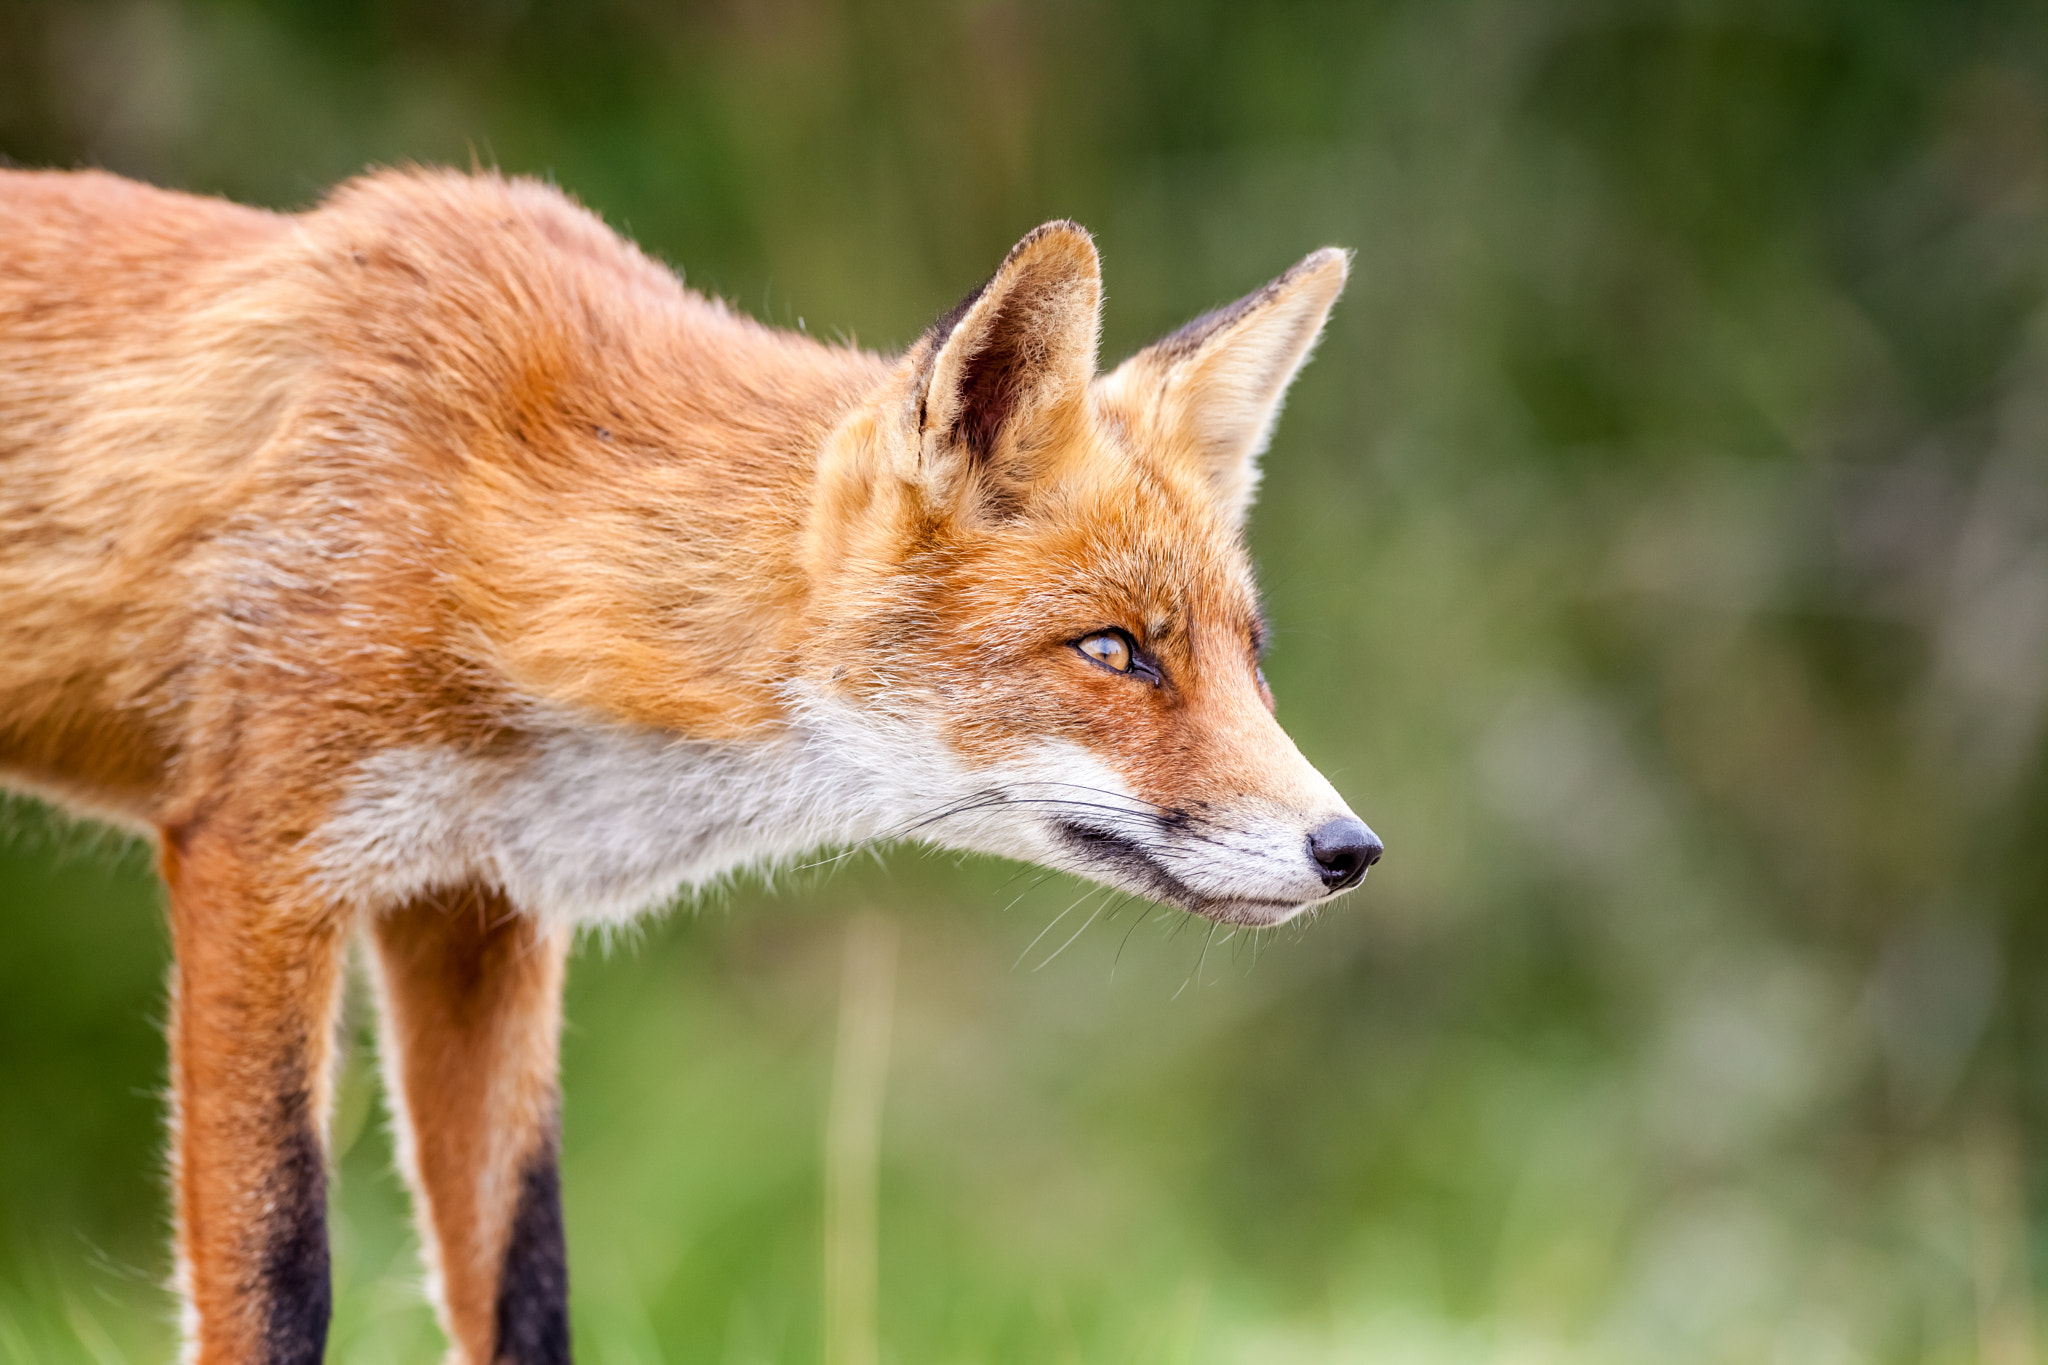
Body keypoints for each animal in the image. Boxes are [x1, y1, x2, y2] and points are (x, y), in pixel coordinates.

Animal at [0, 170, 1384, 1365]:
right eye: (1111, 650)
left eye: (1250, 659)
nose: (1350, 851)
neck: (491, 517)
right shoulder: (261, 862)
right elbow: (276, 1287)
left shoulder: (473, 910)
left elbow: (526, 1290)